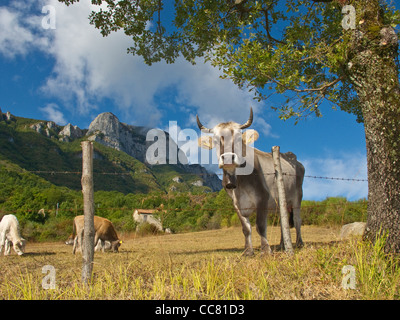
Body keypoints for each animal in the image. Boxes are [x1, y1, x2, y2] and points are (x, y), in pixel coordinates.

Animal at [196, 108, 304, 255]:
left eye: (238, 138)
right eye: (217, 140)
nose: (228, 158)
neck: (239, 183)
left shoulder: (263, 197)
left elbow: (260, 225)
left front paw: (265, 250)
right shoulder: (236, 203)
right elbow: (246, 228)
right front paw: (248, 251)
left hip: (298, 196)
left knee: (297, 220)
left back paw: (299, 243)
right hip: (283, 201)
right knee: (284, 221)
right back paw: (282, 244)